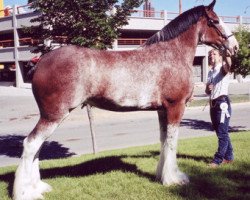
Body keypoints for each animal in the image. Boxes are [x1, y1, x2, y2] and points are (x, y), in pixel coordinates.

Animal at [13, 0, 238, 199]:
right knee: (31, 144)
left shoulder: (162, 110)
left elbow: (164, 140)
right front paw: (174, 179)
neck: (171, 54)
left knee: (38, 147)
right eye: (215, 21)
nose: (235, 46)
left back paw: (39, 187)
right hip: (53, 115)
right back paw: (26, 193)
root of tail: (41, 62)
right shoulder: (176, 107)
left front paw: (161, 175)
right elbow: (172, 142)